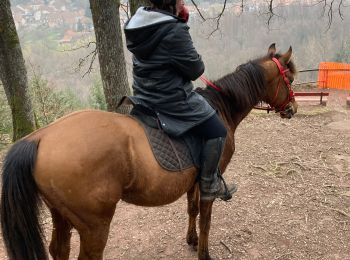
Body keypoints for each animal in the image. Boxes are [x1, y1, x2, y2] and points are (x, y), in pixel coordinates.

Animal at [1, 43, 298, 258]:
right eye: (291, 79)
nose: (293, 110)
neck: (220, 106)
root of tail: (40, 137)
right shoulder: (210, 180)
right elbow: (206, 219)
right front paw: (204, 253)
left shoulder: (194, 181)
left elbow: (192, 210)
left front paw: (191, 241)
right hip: (94, 226)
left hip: (60, 216)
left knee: (58, 250)